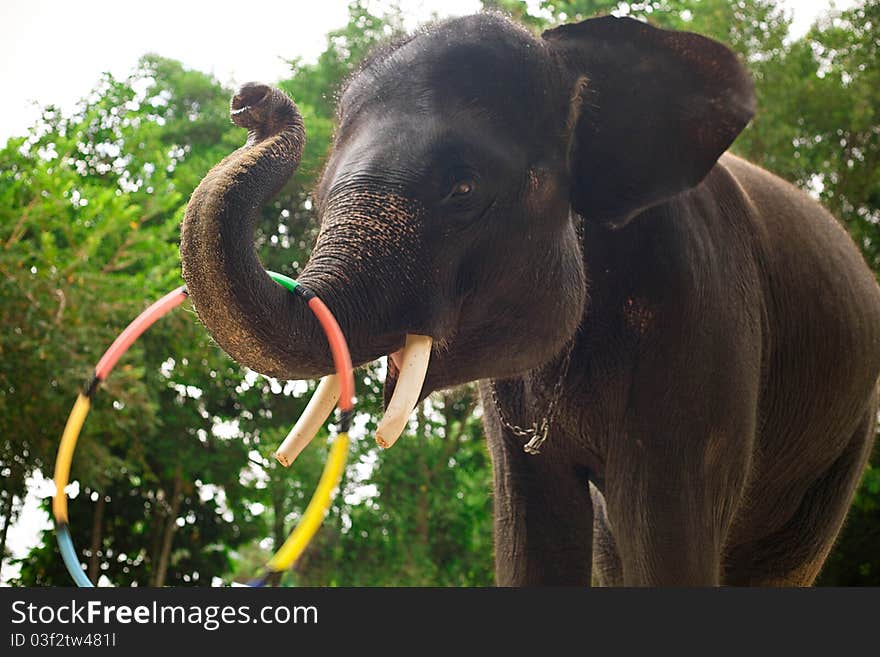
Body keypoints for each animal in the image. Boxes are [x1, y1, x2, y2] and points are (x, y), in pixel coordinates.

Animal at [179, 11, 880, 584]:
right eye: (322, 196)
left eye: (462, 189)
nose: (250, 100)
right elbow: (534, 536)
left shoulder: (701, 317)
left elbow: (667, 539)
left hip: (847, 437)